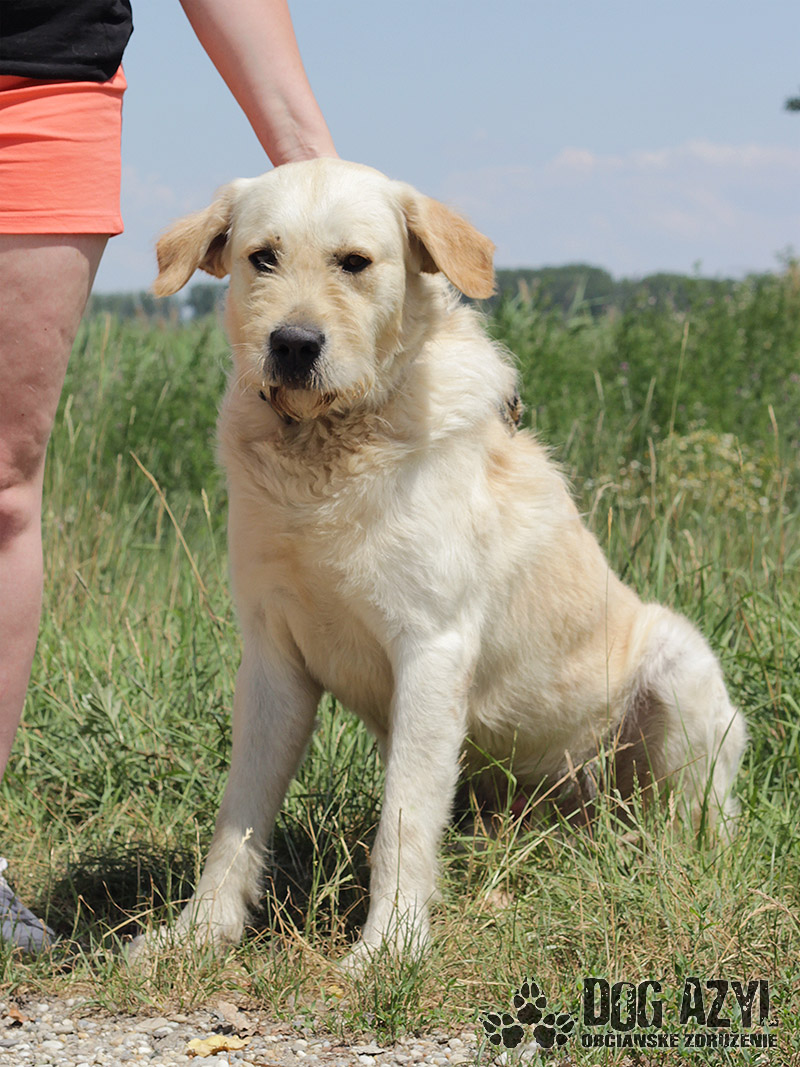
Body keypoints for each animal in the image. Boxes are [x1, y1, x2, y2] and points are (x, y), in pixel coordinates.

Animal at [142, 158, 746, 966]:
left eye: (355, 263)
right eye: (262, 257)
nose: (294, 343)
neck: (326, 455)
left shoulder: (430, 648)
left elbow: (400, 820)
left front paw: (388, 950)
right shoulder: (272, 658)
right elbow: (238, 817)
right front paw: (199, 933)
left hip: (679, 671)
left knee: (688, 828)